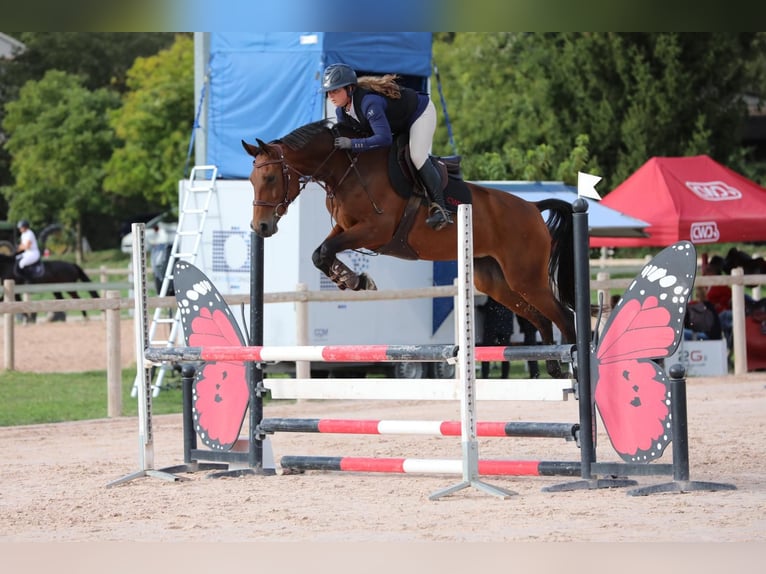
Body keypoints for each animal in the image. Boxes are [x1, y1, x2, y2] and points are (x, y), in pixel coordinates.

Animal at [244, 120, 576, 380]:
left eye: (270, 178)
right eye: (251, 180)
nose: (260, 227)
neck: (346, 169)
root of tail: (533, 207)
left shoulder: (374, 231)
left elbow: (326, 250)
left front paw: (355, 280)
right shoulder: (346, 228)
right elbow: (320, 252)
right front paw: (350, 279)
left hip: (525, 277)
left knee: (563, 315)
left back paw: (573, 367)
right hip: (495, 280)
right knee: (542, 318)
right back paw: (553, 366)